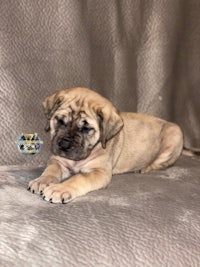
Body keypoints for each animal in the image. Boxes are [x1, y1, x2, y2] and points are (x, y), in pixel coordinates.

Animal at [27, 87, 183, 203]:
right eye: (59, 120)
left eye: (86, 129)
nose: (64, 145)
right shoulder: (57, 161)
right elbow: (51, 170)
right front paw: (42, 181)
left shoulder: (99, 172)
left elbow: (79, 178)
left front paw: (59, 189)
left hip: (174, 133)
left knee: (162, 163)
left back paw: (144, 168)